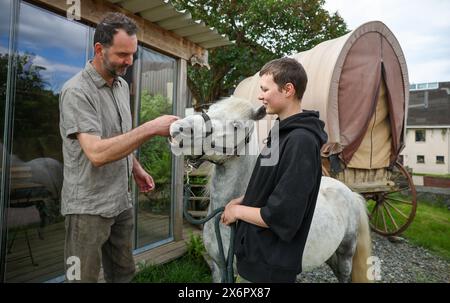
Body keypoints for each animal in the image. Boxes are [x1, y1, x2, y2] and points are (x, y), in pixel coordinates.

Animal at [171, 97, 370, 282]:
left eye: (236, 126)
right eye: (210, 109)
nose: (177, 128)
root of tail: (350, 193)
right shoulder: (218, 268)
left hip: (345, 255)